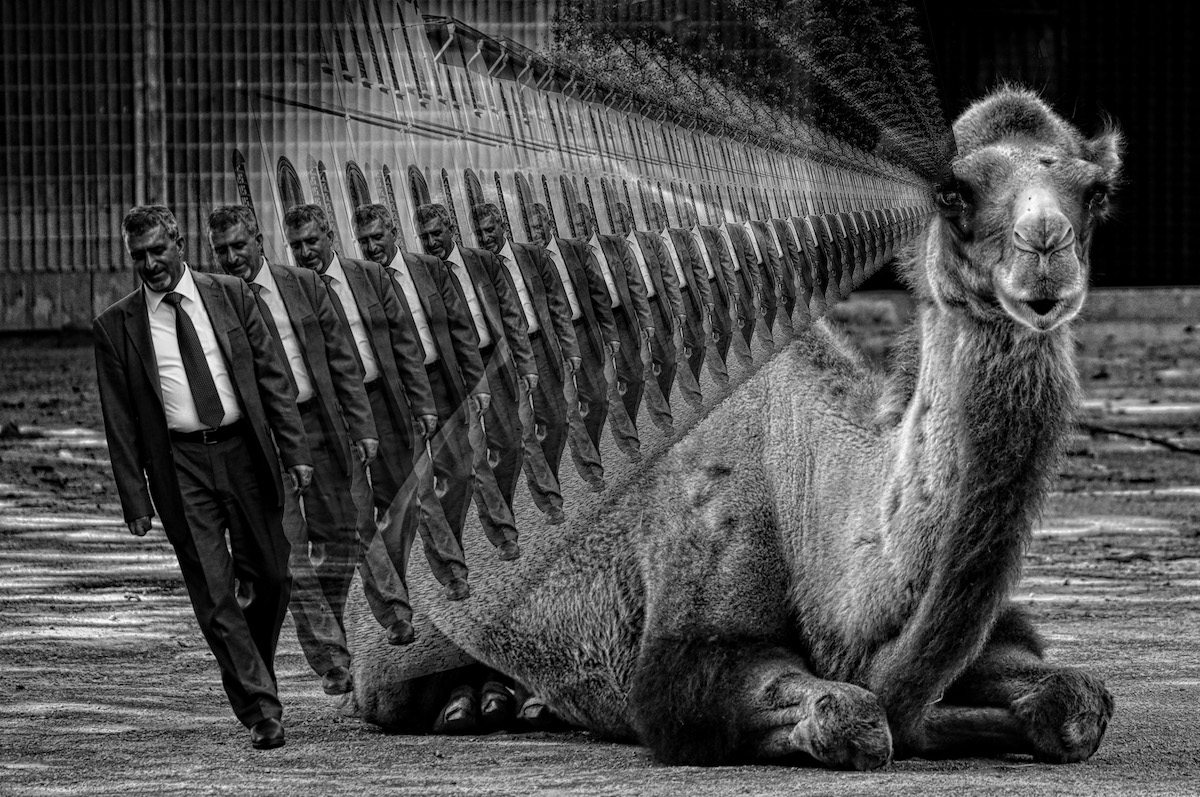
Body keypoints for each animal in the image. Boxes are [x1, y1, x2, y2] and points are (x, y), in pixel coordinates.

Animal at [348, 86, 1123, 768]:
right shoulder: (692, 641)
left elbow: (1076, 700)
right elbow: (853, 715)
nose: (1045, 250)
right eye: (953, 191)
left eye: (1096, 194)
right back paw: (473, 700)